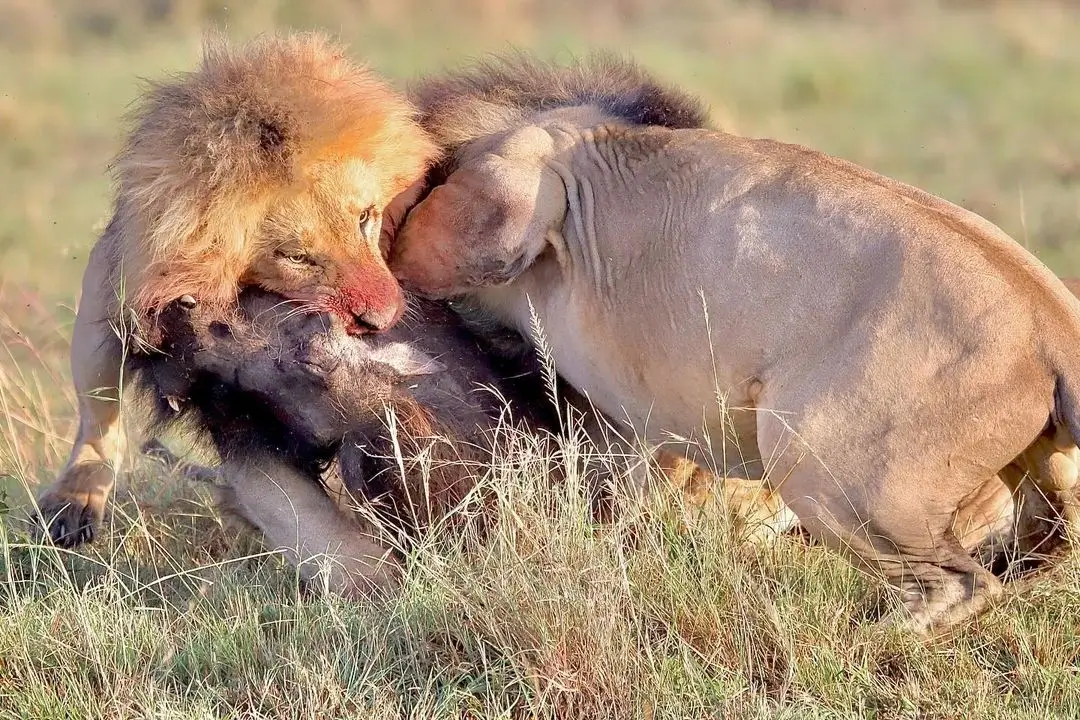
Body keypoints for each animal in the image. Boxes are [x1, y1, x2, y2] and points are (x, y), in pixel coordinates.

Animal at [35, 32, 436, 546]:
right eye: (296, 257)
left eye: (365, 217)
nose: (381, 319)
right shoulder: (115, 289)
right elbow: (98, 407)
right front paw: (76, 498)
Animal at [388, 53, 1080, 634]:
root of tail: (1053, 326)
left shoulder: (525, 176)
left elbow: (416, 251)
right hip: (1032, 479)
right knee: (1041, 550)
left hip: (825, 463)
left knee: (961, 583)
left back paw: (860, 642)